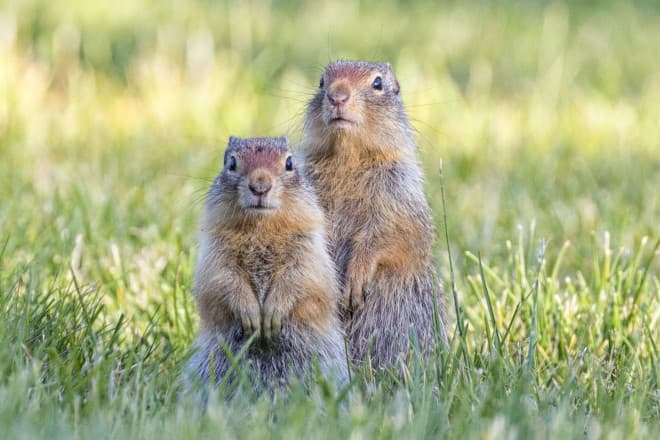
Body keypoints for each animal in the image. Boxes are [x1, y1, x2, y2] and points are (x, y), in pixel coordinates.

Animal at [186, 136, 348, 390]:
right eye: (231, 162)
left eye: (290, 162)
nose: (260, 185)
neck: (261, 227)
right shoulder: (216, 252)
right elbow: (223, 280)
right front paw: (251, 315)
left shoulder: (308, 249)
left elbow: (300, 277)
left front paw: (272, 314)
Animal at [300, 60, 446, 370]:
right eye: (321, 82)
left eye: (378, 83)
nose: (337, 96)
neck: (349, 158)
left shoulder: (398, 193)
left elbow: (392, 235)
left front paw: (355, 281)